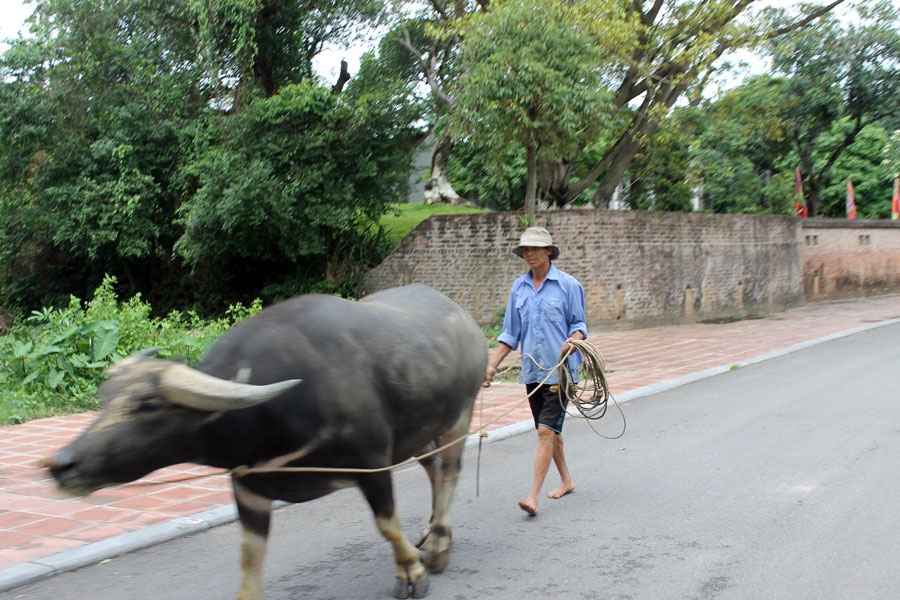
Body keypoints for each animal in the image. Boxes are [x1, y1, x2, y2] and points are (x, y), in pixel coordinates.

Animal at [45, 284, 488, 596]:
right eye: (105, 397)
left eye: (148, 404)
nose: (63, 465)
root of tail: (466, 321)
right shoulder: (249, 488)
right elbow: (249, 559)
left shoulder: (372, 464)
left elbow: (388, 525)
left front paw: (412, 572)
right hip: (418, 433)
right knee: (434, 469)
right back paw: (431, 532)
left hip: (459, 414)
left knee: (450, 472)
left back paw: (439, 544)